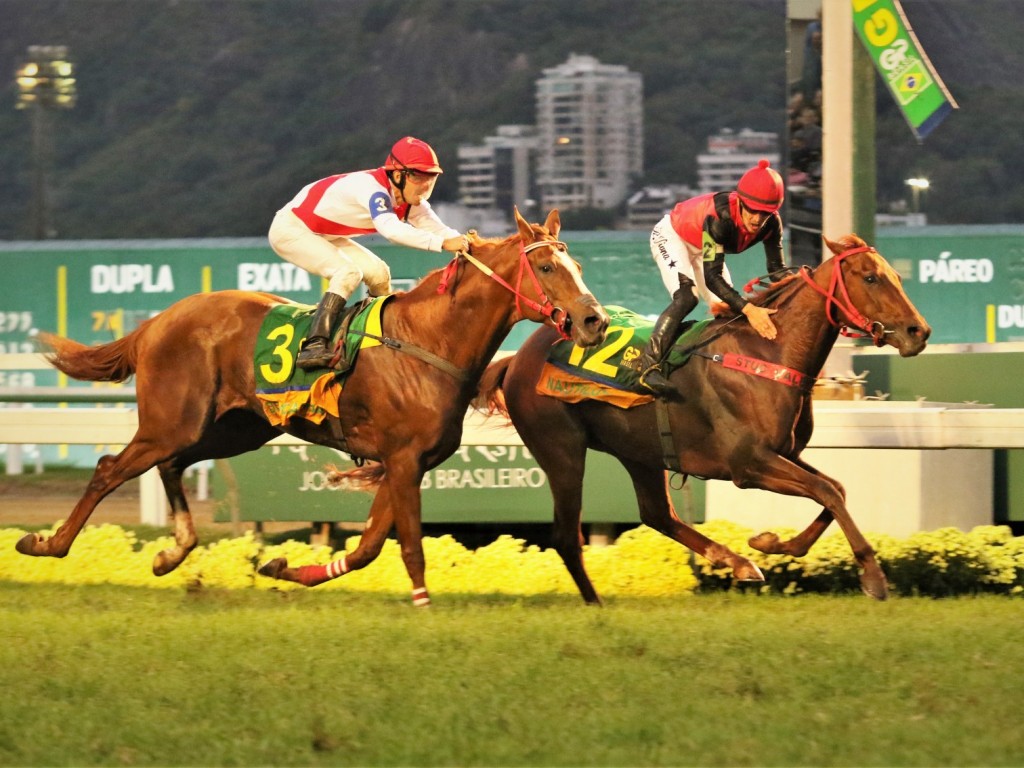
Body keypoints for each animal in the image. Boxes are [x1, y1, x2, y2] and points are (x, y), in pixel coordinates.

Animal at [18, 207, 606, 606]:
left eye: (576, 262)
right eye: (548, 268)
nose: (594, 320)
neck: (428, 340)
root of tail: (157, 322)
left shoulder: (406, 462)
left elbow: (369, 546)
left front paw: (283, 568)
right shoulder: (403, 460)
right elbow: (408, 545)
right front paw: (423, 603)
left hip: (233, 429)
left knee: (170, 465)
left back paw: (172, 551)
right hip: (173, 421)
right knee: (109, 467)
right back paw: (48, 544)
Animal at [475, 236, 933, 606]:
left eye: (895, 275)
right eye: (871, 277)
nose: (920, 331)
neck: (768, 353)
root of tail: (517, 358)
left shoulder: (784, 453)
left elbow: (835, 489)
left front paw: (772, 543)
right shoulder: (748, 464)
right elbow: (828, 492)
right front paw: (873, 576)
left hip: (639, 450)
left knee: (657, 514)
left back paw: (737, 561)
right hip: (561, 450)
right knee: (567, 535)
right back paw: (596, 604)